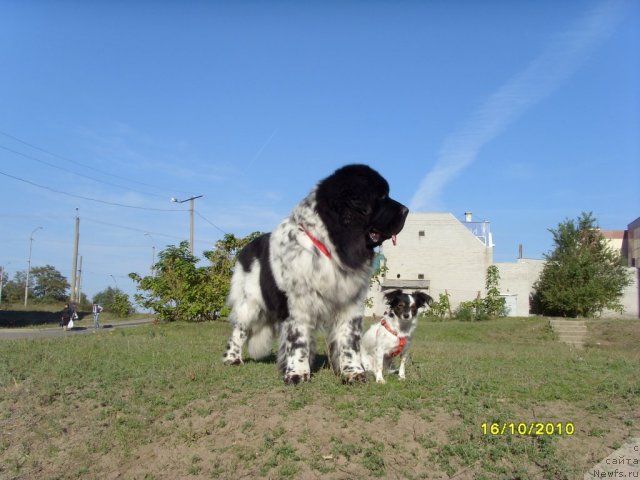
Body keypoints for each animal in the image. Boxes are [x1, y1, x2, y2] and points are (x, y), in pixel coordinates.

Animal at [222, 163, 408, 384]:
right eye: (381, 196)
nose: (407, 210)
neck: (329, 247)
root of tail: (246, 249)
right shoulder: (297, 305)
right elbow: (297, 340)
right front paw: (297, 372)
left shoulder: (350, 303)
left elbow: (348, 340)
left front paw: (353, 371)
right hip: (250, 303)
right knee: (238, 330)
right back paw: (232, 358)